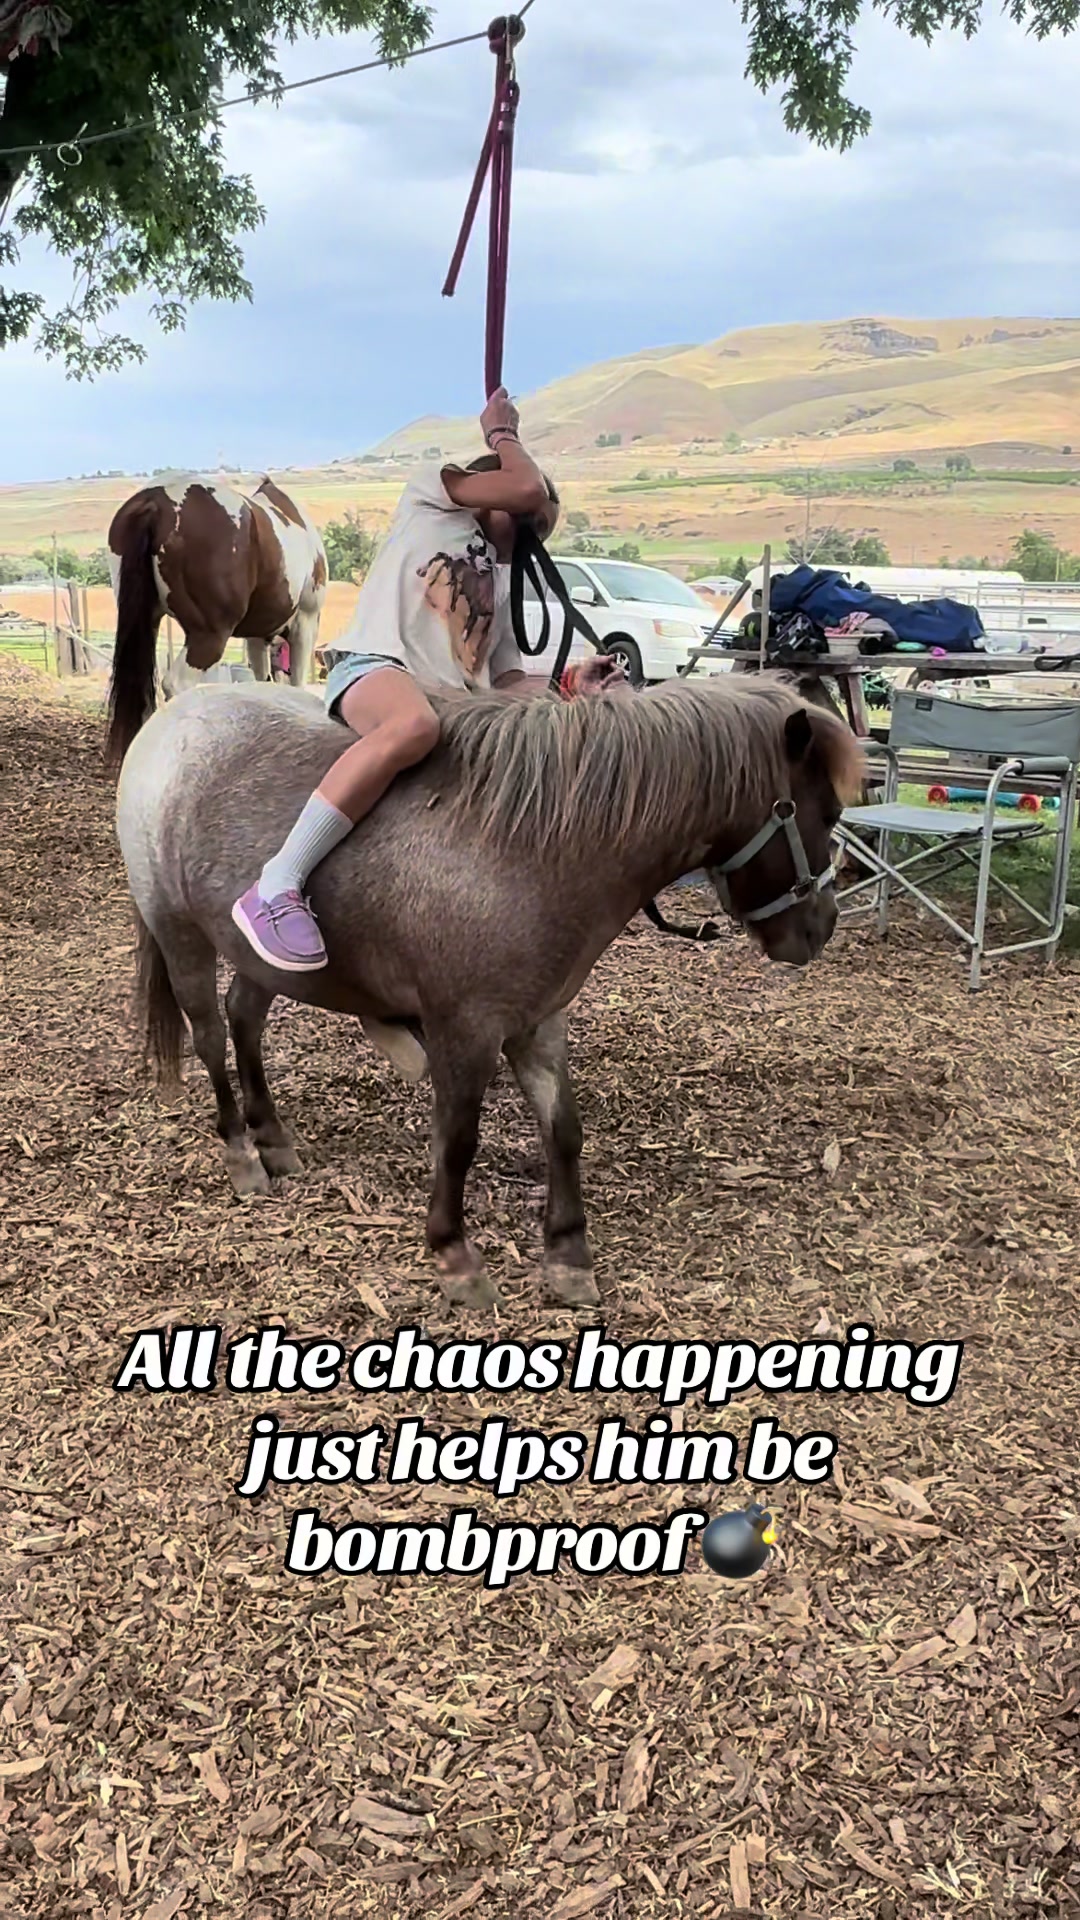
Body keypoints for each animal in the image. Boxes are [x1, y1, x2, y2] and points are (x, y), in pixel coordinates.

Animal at [105, 474, 328, 766]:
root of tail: (156, 502)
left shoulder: (257, 638)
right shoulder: (305, 625)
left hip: (144, 627)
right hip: (209, 636)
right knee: (177, 684)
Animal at [114, 675, 864, 1309]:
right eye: (825, 811)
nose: (821, 926)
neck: (530, 848)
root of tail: (172, 716)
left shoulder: (538, 1021)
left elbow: (563, 1130)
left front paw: (568, 1254)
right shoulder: (464, 1029)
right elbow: (458, 1139)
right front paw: (454, 1255)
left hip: (263, 958)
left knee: (243, 1019)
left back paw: (272, 1136)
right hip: (179, 932)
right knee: (211, 1036)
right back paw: (242, 1153)